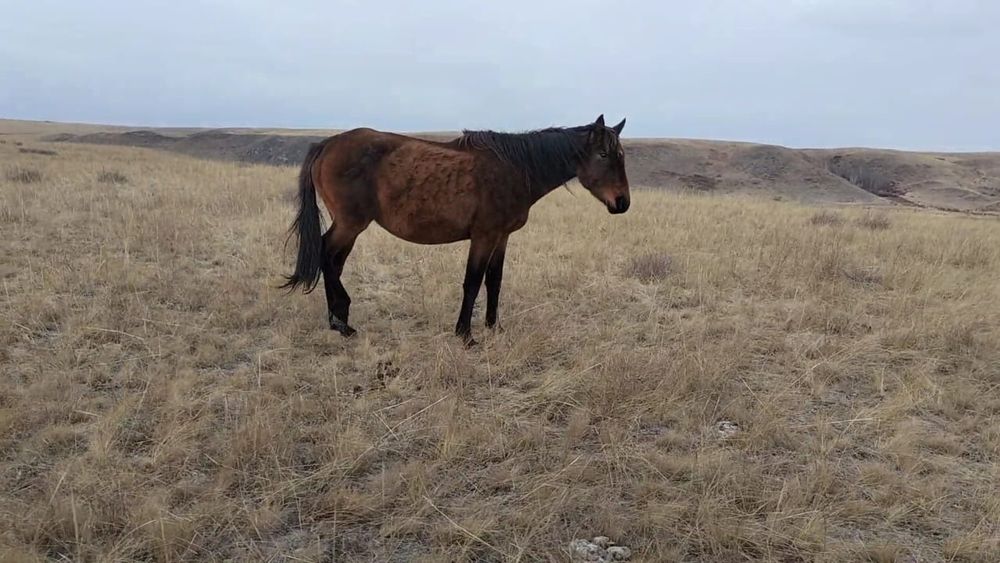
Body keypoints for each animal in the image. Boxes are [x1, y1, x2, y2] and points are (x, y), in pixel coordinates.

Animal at [280, 114, 630, 345]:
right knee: (327, 255)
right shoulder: (484, 236)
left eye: (621, 155)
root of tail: (327, 143)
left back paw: (339, 320)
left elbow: (494, 282)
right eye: (603, 154)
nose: (622, 202)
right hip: (351, 223)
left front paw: (494, 327)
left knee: (334, 261)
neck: (516, 169)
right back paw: (341, 321)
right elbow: (472, 282)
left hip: (350, 226)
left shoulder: (502, 237)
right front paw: (465, 334)